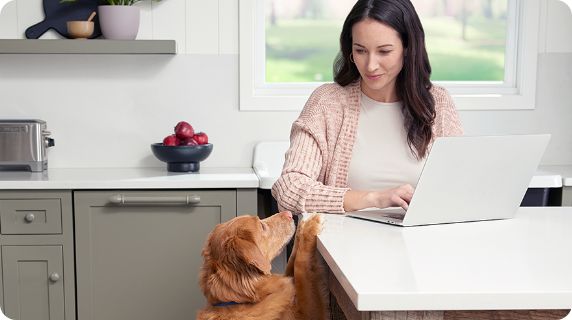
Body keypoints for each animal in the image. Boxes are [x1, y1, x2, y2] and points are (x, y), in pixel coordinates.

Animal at [198, 211, 328, 318]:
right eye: (262, 226)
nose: (289, 213)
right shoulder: (307, 312)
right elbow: (301, 268)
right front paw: (311, 225)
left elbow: (293, 259)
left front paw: (302, 226)